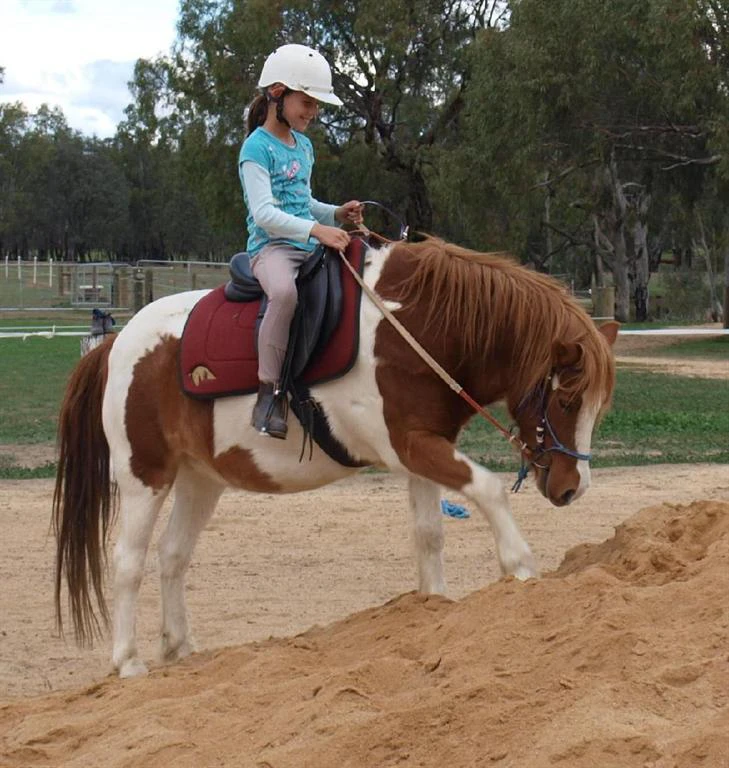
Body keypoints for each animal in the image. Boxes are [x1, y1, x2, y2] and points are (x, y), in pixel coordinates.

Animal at [53, 235, 618, 678]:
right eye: (567, 401)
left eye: (596, 404)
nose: (573, 486)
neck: (414, 327)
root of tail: (117, 343)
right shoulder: (411, 445)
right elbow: (489, 488)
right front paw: (520, 567)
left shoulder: (422, 449)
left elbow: (429, 534)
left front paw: (434, 603)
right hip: (143, 477)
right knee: (128, 561)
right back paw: (127, 660)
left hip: (200, 479)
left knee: (173, 555)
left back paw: (181, 646)